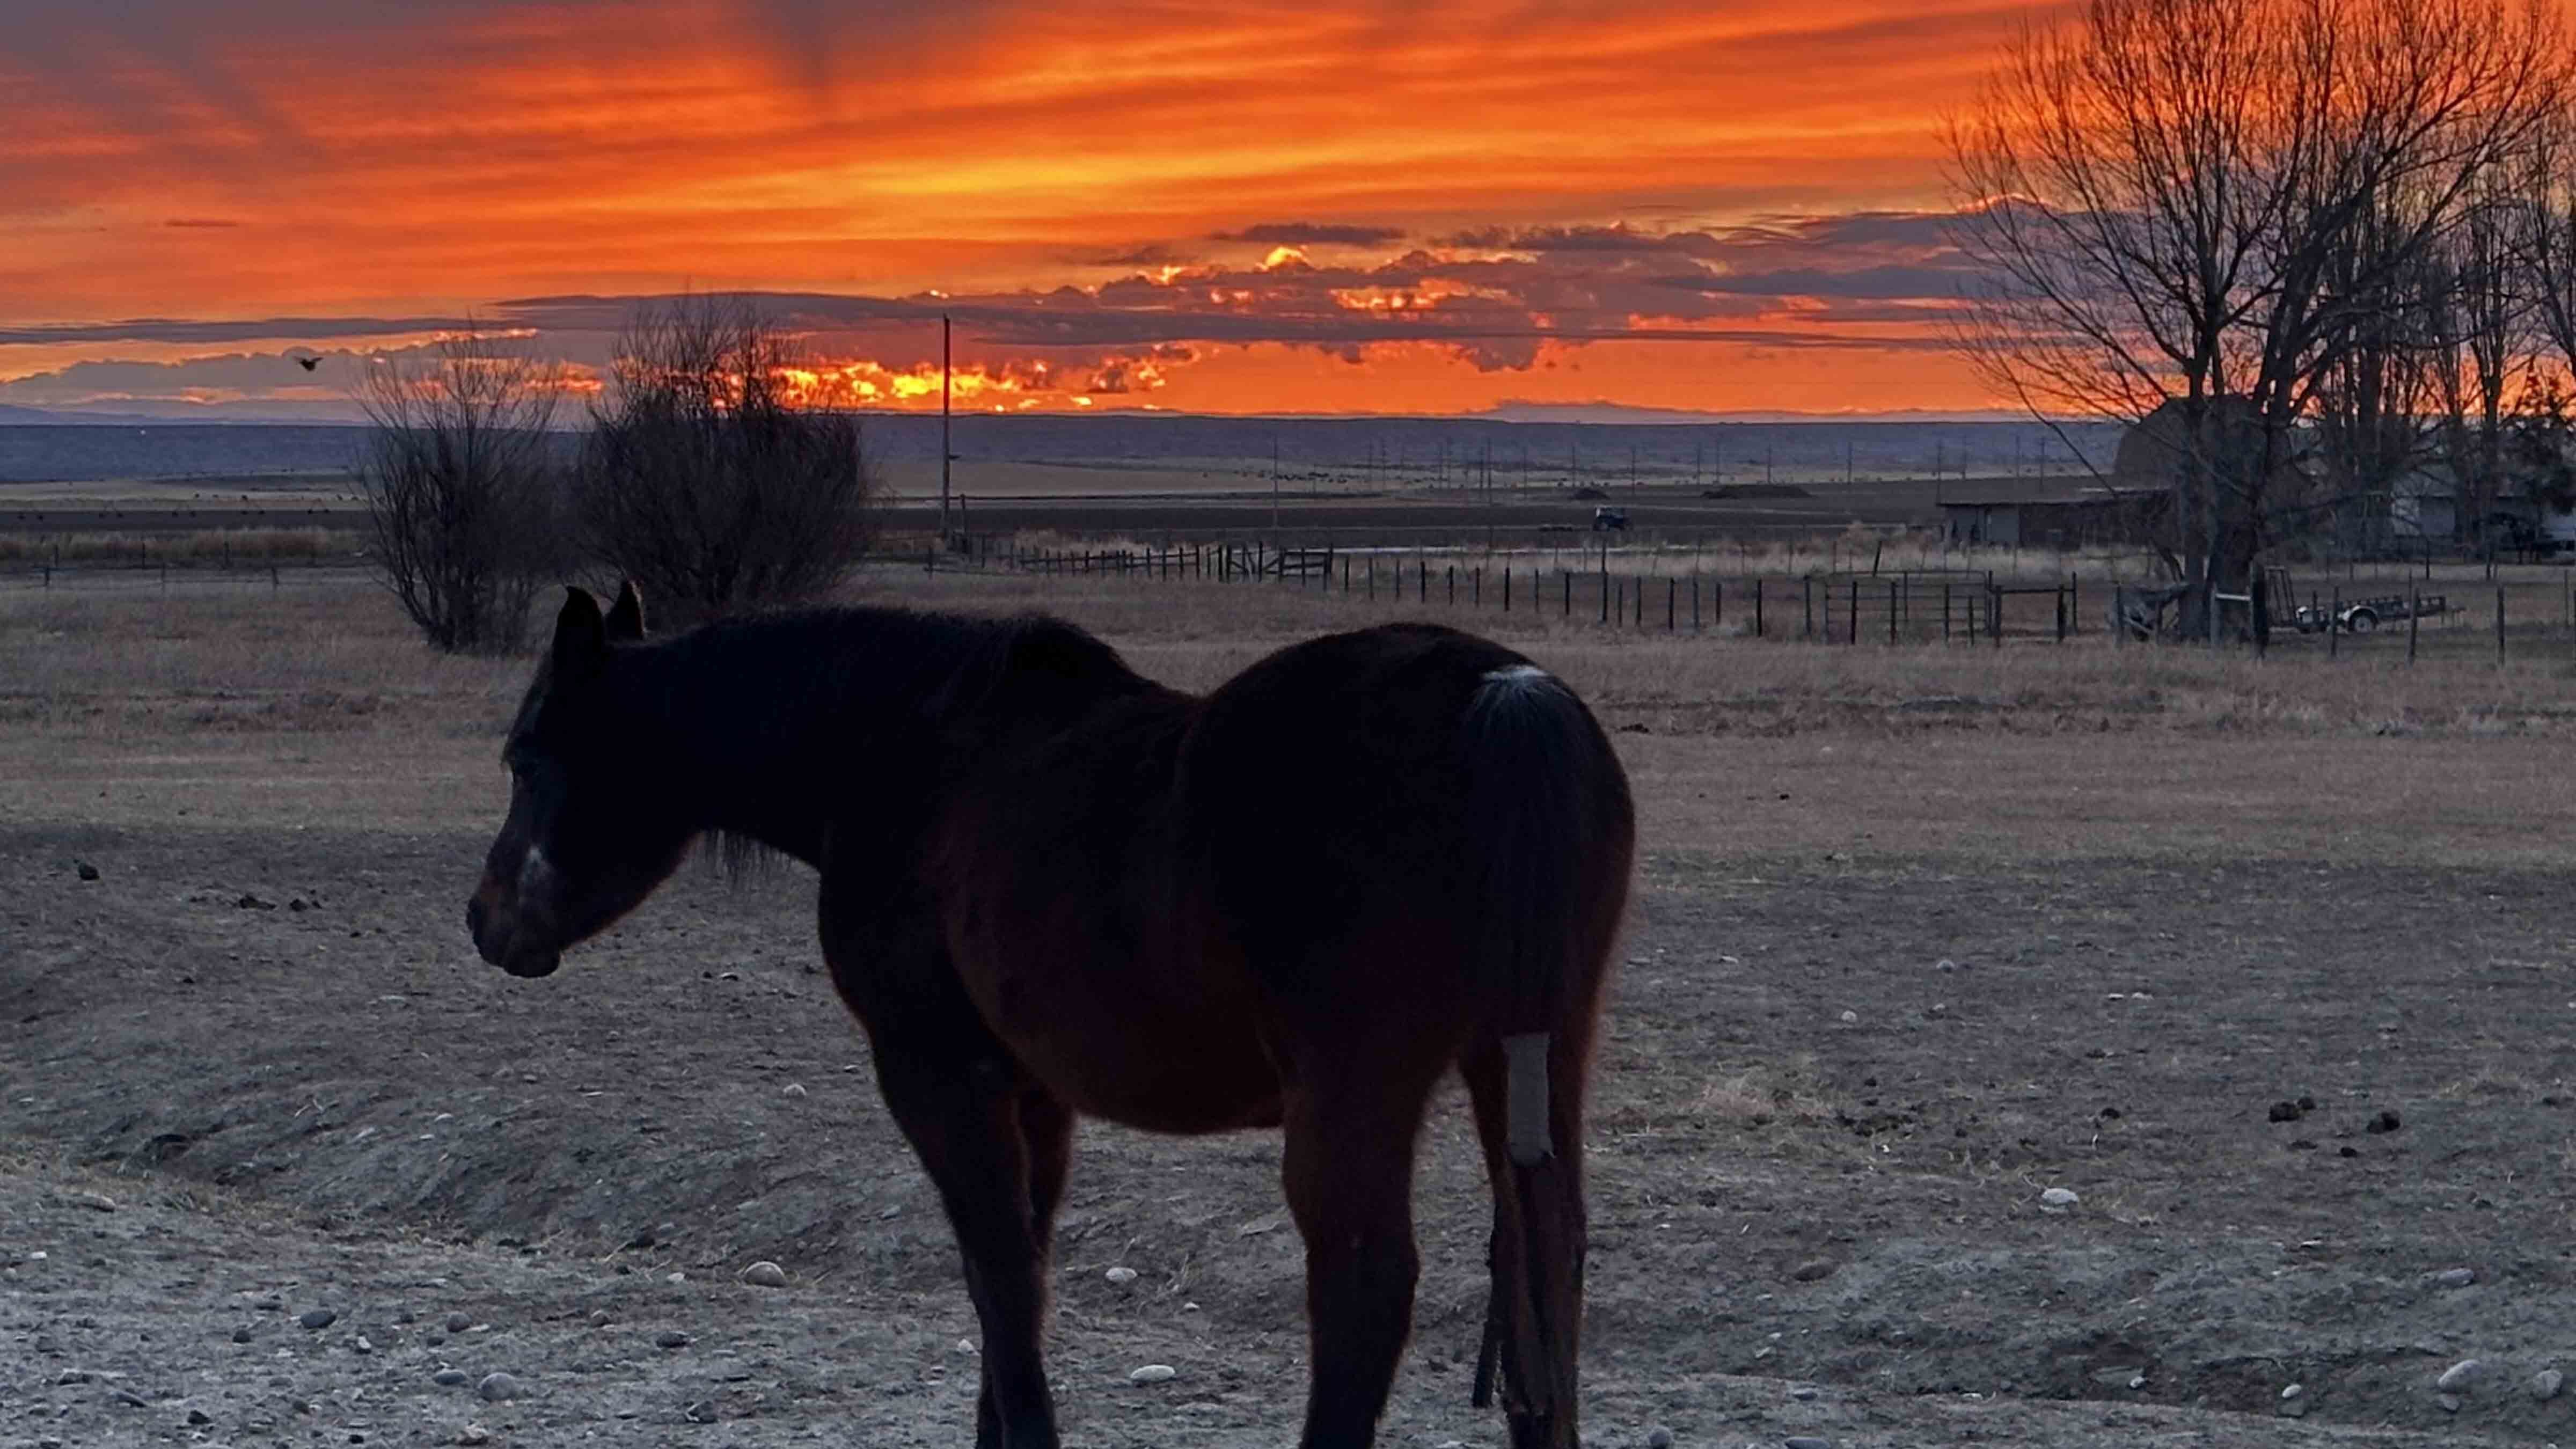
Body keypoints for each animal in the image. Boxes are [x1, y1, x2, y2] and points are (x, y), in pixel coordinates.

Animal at [465, 584, 1635, 1449]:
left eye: (524, 760)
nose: (484, 922)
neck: (903, 760)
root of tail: (1505, 695)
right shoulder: (1034, 1092)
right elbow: (1015, 1274)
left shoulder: (934, 1074)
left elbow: (996, 1270)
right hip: (1526, 1061)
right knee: (1548, 1261)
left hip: (1356, 1095)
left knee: (1367, 1286)